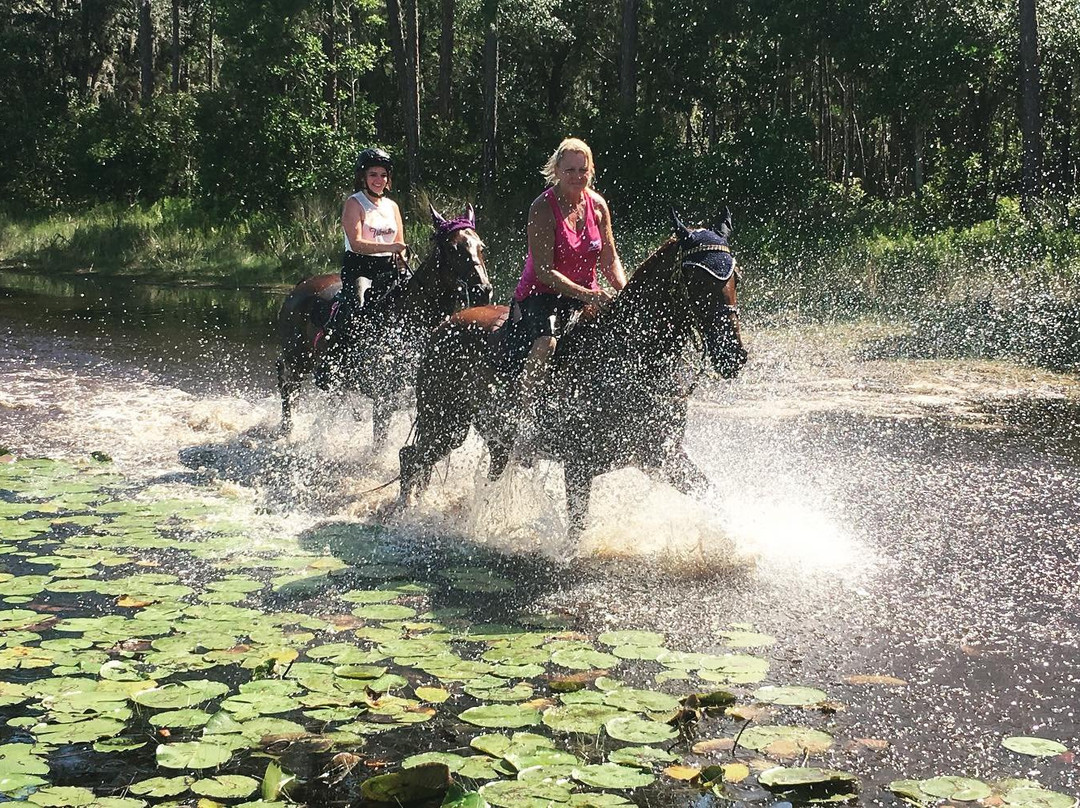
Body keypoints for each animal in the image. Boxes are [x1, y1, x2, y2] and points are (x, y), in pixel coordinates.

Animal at [272, 200, 492, 442]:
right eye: (453, 248)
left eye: (481, 247)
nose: (483, 290)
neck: (409, 318)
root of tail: (299, 287)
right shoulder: (384, 396)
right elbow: (380, 439)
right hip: (298, 358)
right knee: (286, 382)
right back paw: (286, 430)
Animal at [401, 208, 747, 542]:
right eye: (696, 279)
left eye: (735, 279)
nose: (733, 354)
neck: (630, 355)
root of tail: (443, 325)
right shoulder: (580, 464)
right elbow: (576, 530)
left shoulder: (662, 455)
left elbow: (715, 499)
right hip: (444, 423)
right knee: (410, 459)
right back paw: (404, 516)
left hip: (489, 438)